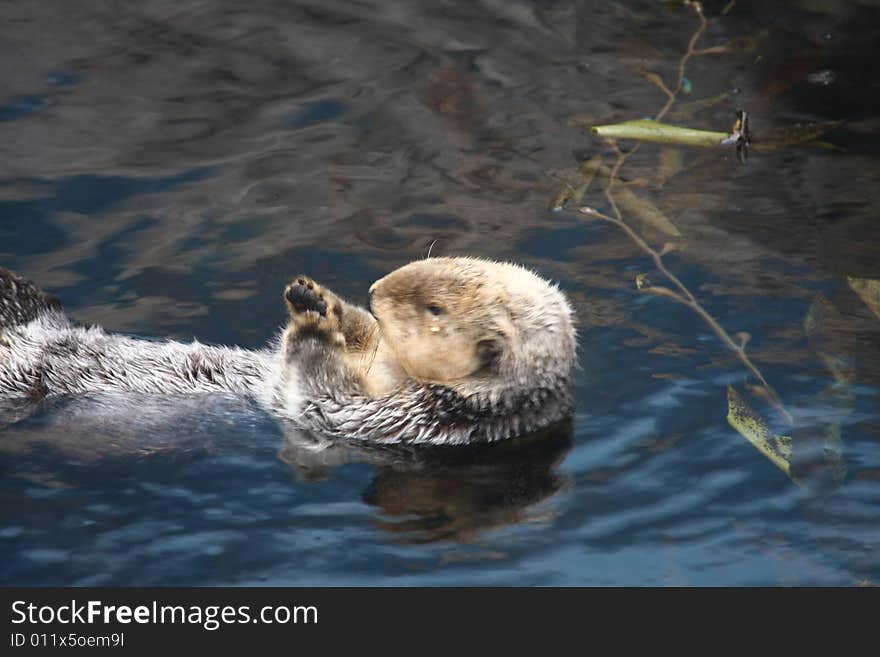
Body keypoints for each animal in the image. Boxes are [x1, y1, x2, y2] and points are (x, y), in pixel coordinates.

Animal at [0, 256, 576, 446]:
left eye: (434, 309)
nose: (374, 289)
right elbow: (360, 338)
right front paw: (320, 302)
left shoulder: (402, 421)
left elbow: (317, 395)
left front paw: (313, 327)